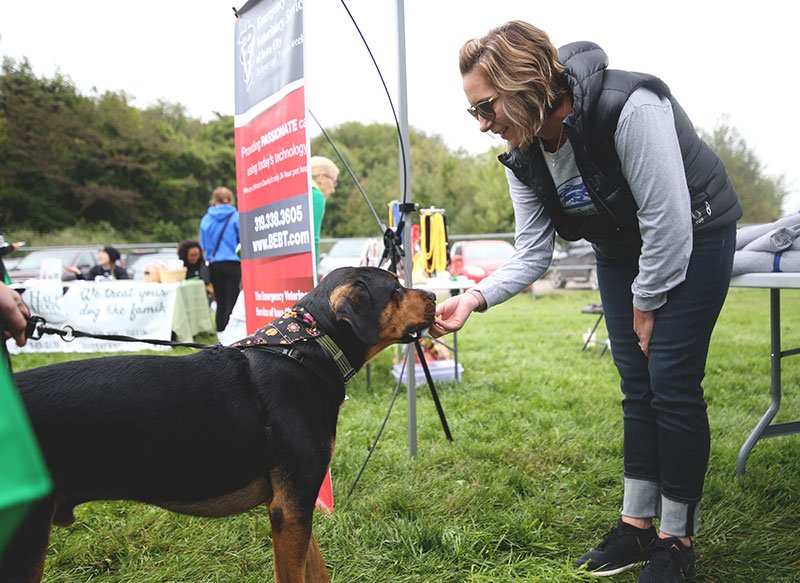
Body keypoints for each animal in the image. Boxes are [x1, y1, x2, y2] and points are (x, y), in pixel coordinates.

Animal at [1, 266, 438, 580]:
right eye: (395, 290)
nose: (434, 295)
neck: (307, 351)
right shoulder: (290, 507)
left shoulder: (295, 503)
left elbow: (317, 570)